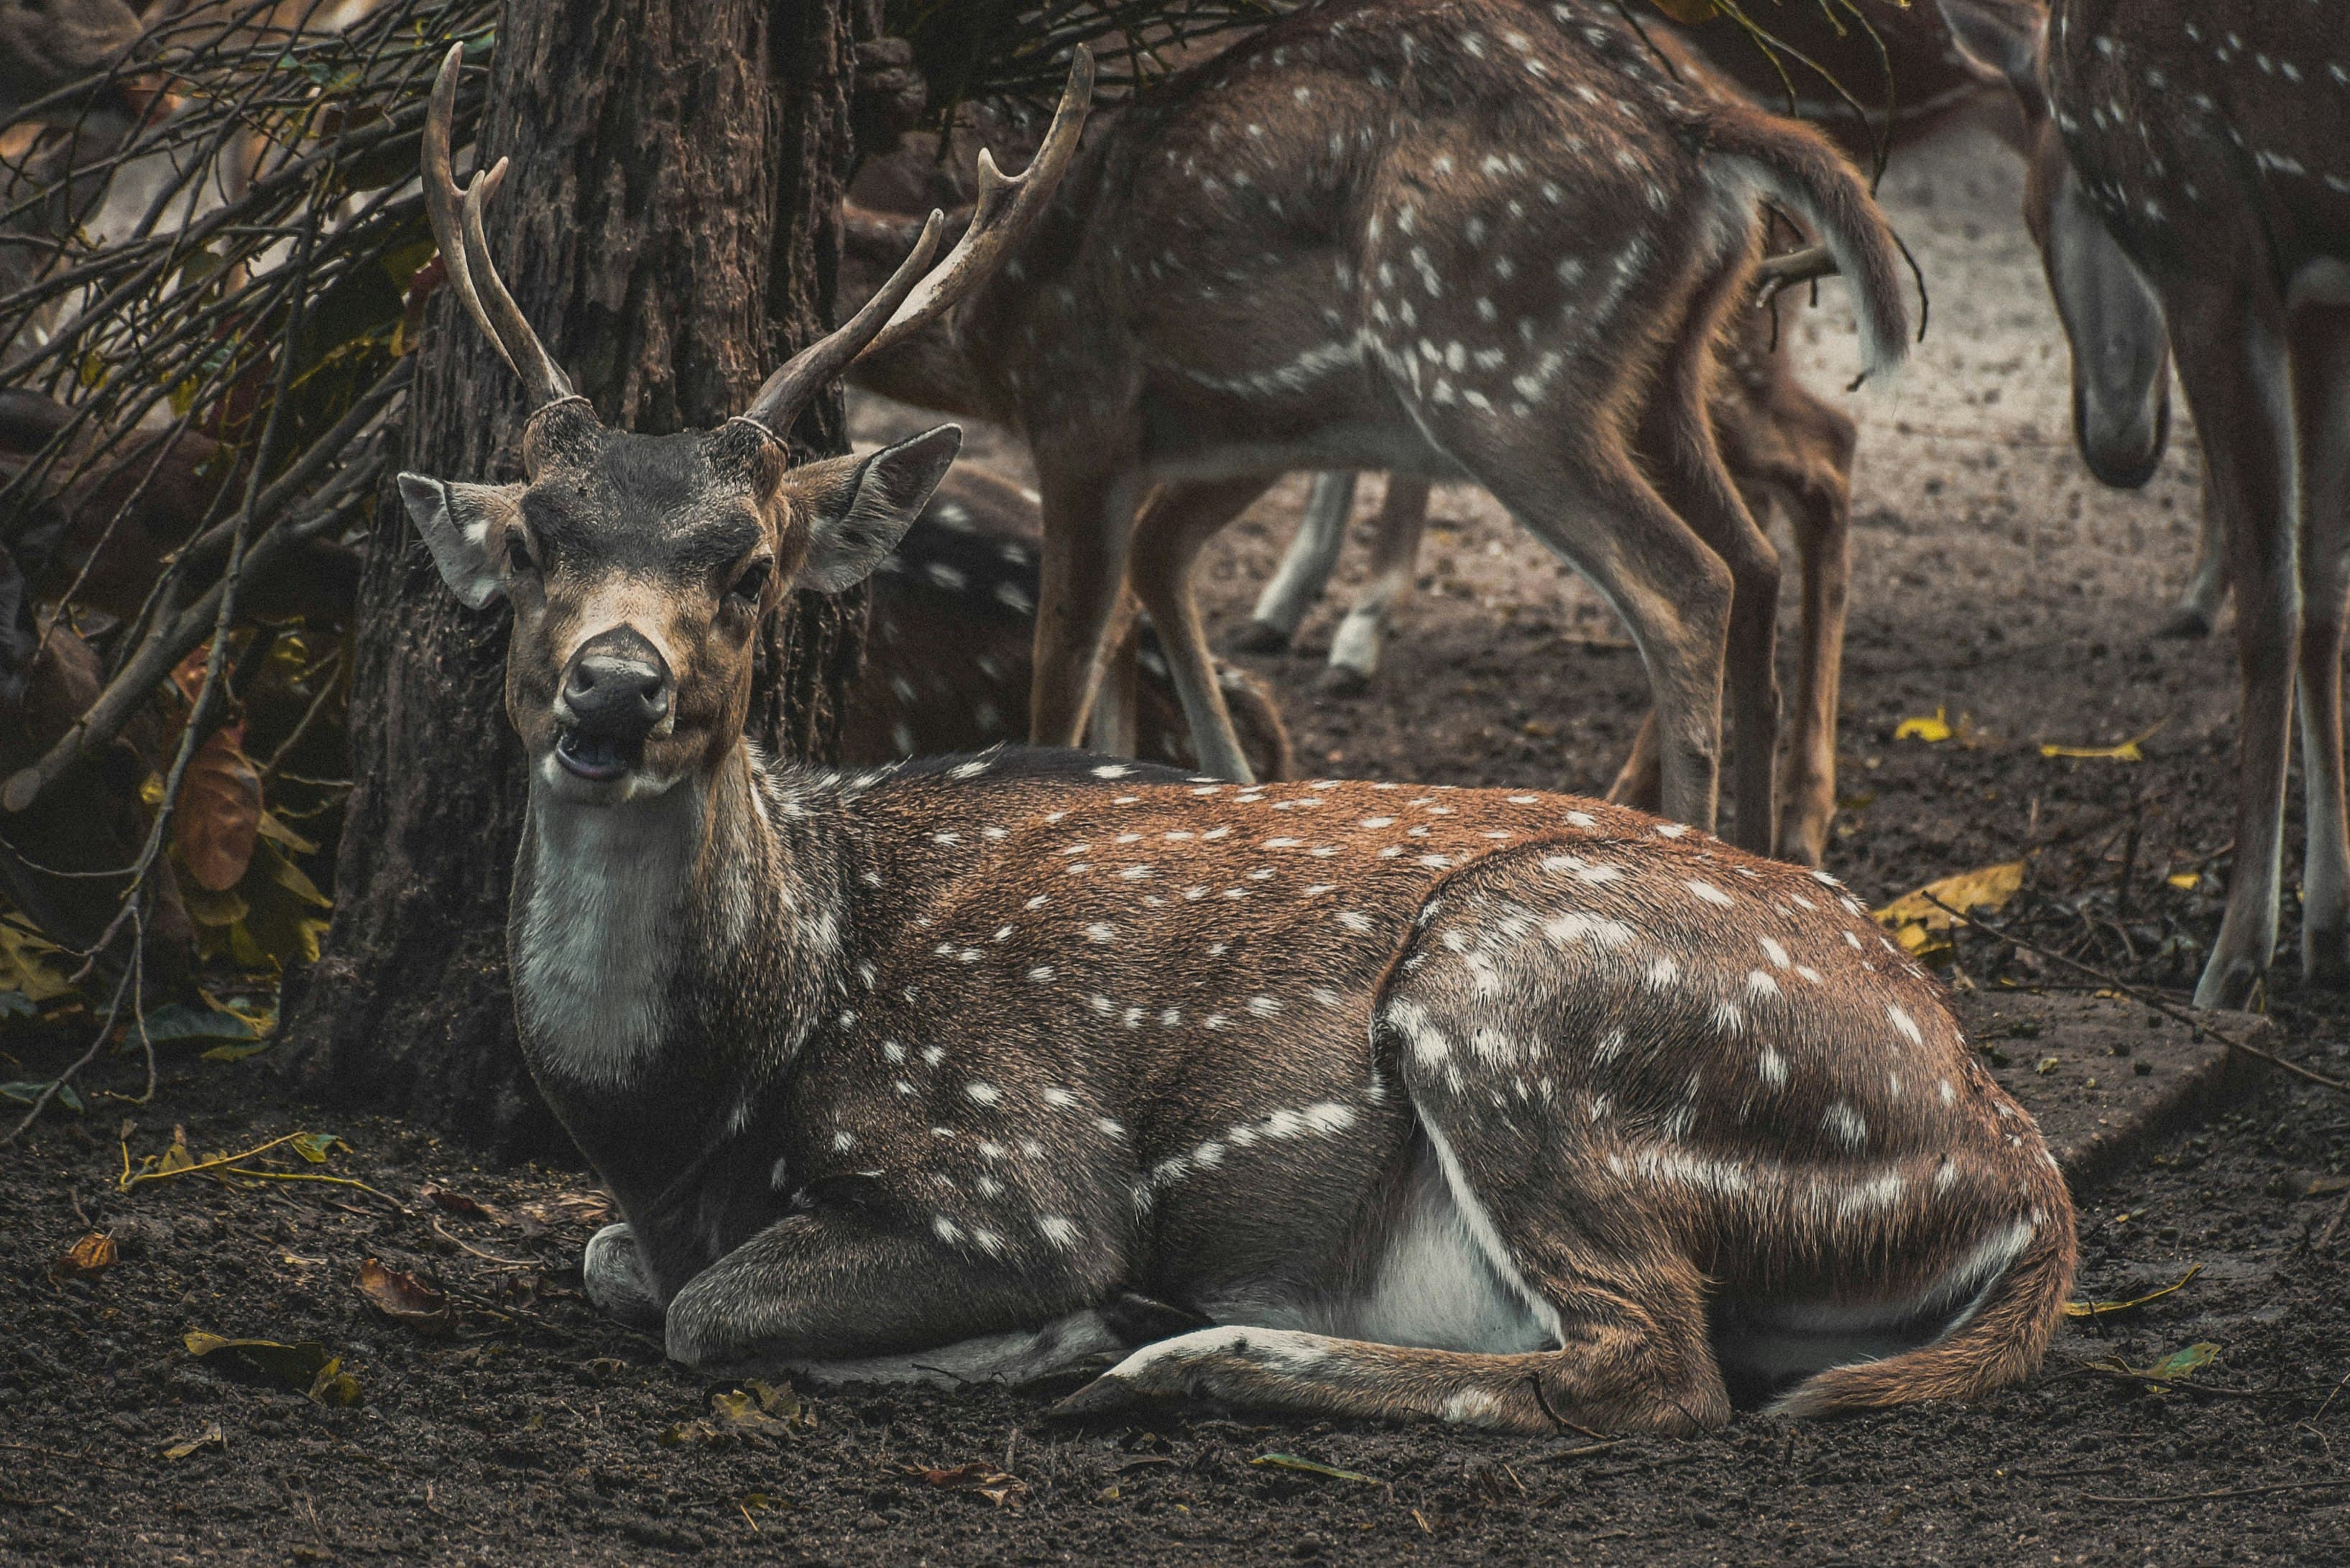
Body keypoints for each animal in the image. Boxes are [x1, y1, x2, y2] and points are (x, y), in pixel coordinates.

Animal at [840, 0, 1911, 859]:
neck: (985, 331)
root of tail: (1694, 130)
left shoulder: (1081, 417)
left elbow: (1065, 662)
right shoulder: (1246, 431)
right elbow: (1144, 588)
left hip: (1492, 370)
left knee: (1691, 577)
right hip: (1662, 379)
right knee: (1757, 555)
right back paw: (1777, 855)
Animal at [1936, 0, 2350, 1010]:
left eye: (2030, 212)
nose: (2114, 441)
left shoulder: (2203, 240)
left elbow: (2269, 608)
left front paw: (2236, 956)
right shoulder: (2320, 293)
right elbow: (2325, 596)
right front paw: (2327, 927)